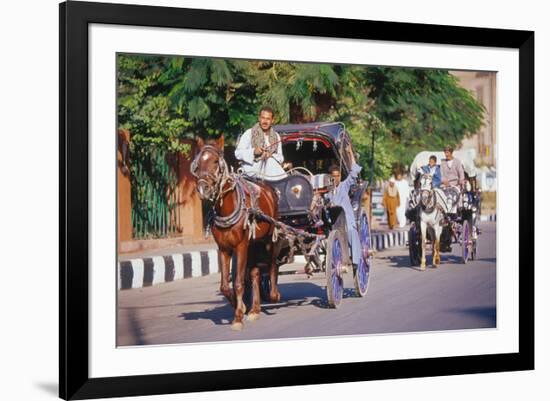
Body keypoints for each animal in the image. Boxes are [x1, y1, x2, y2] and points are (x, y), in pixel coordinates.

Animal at [192, 136, 282, 330]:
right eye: (198, 164)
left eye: (215, 161)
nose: (203, 189)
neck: (228, 207)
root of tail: (268, 188)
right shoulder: (224, 248)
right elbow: (226, 286)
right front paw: (240, 307)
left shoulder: (240, 246)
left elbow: (239, 282)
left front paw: (238, 317)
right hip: (253, 243)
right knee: (255, 273)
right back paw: (255, 309)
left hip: (270, 238)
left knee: (273, 263)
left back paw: (274, 294)